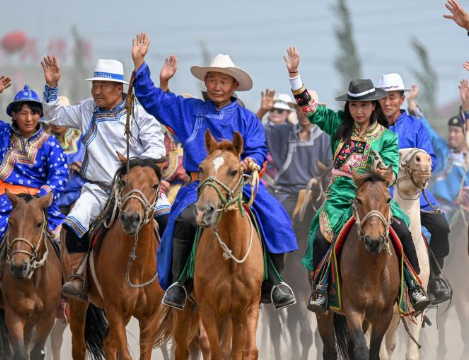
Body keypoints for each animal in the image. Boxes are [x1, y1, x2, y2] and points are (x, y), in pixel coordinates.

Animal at [0, 193, 61, 360]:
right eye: (11, 222)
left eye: (39, 224)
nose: (18, 267)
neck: (34, 281)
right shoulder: (13, 313)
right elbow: (20, 353)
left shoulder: (48, 316)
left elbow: (36, 352)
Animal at [63, 156, 167, 360]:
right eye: (125, 181)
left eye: (155, 185)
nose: (131, 218)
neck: (136, 266)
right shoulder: (115, 310)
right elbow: (125, 354)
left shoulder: (150, 317)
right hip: (79, 303)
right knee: (79, 346)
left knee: (108, 344)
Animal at [314, 169, 398, 360]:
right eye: (358, 200)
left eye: (388, 199)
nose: (373, 241)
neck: (373, 269)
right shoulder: (353, 309)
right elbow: (361, 349)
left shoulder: (385, 315)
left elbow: (373, 352)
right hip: (325, 314)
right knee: (329, 349)